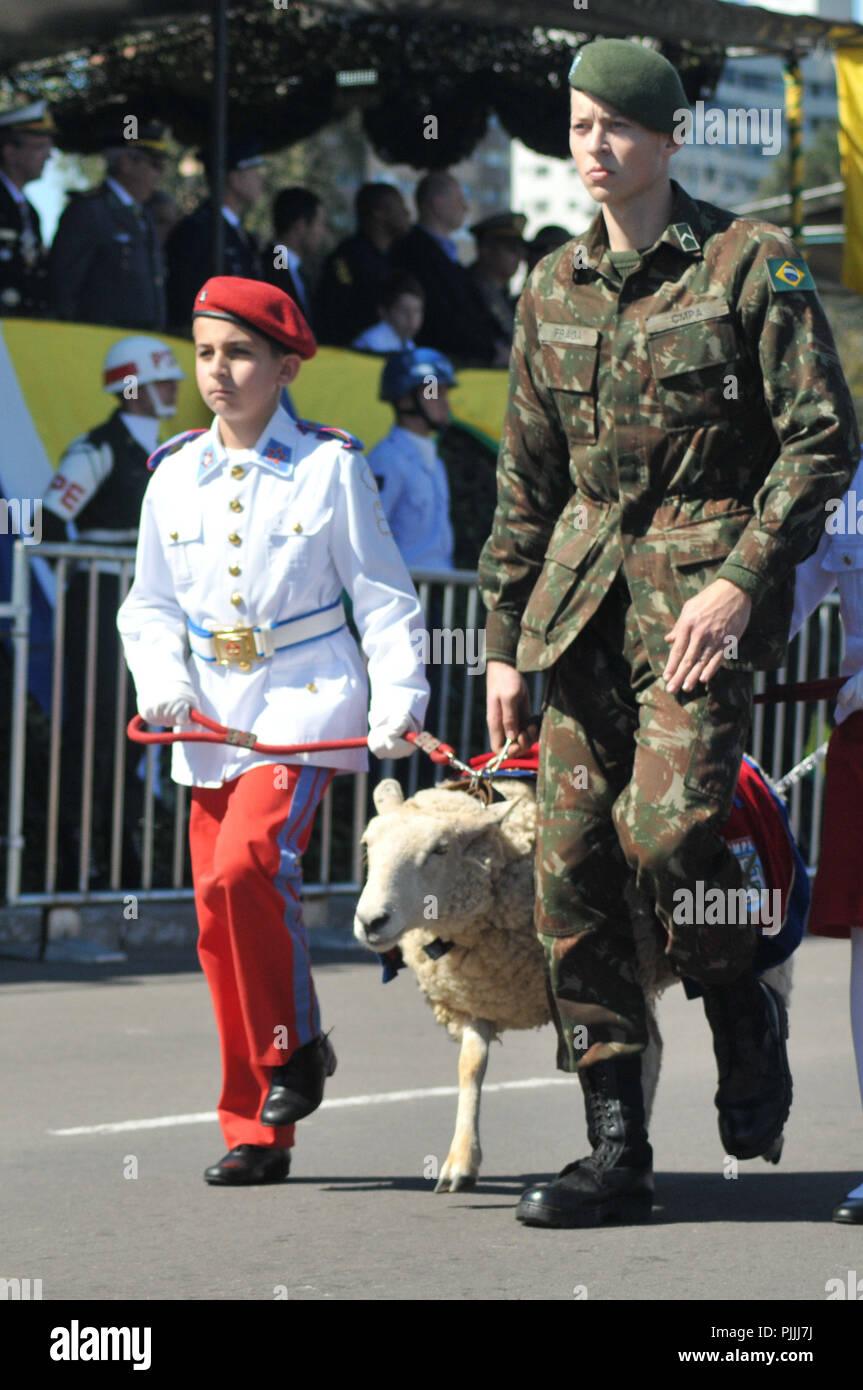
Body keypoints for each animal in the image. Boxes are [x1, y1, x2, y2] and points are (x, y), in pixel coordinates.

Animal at [351, 778, 794, 1189]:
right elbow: (470, 1067)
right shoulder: (476, 995)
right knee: (652, 1045)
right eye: (368, 844)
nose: (371, 921)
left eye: (440, 849)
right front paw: (460, 1161)